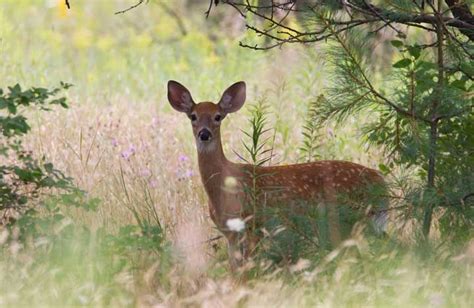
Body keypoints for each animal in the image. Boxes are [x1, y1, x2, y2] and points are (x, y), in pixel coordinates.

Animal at [168, 80, 386, 270]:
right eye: (193, 116)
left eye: (218, 116)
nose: (204, 134)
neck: (224, 187)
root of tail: (381, 180)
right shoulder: (230, 234)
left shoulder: (252, 225)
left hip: (347, 219)